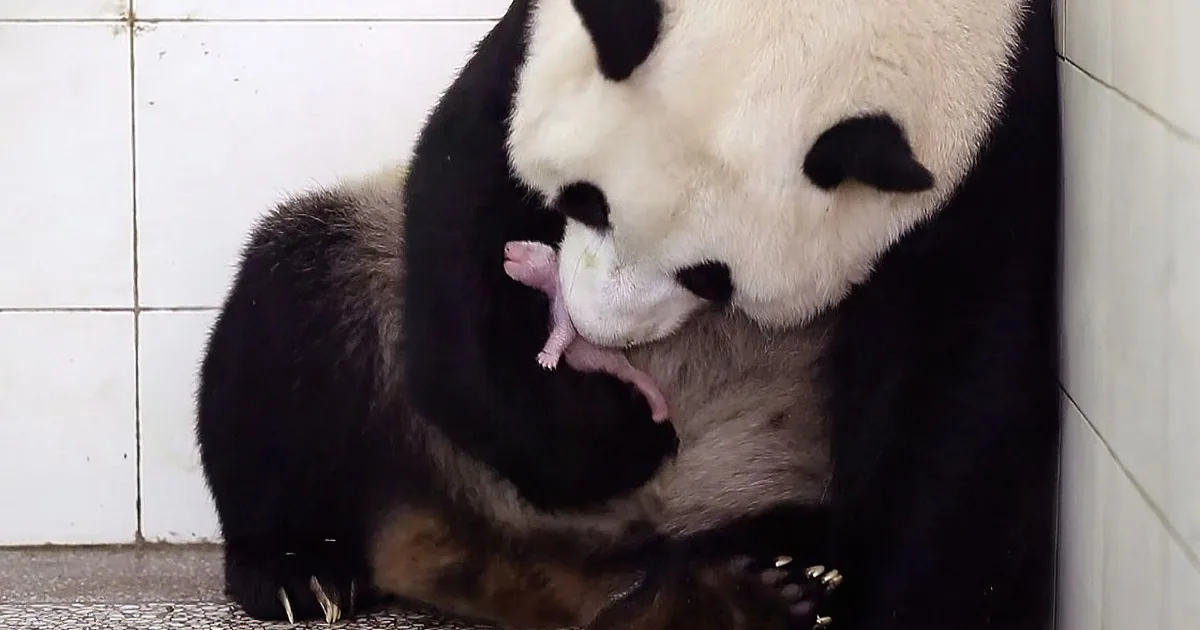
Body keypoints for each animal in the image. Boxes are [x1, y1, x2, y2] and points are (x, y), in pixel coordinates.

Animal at [195, 0, 1062, 629]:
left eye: (712, 278)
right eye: (583, 200)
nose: (592, 332)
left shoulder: (996, 137)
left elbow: (956, 379)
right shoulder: (531, 45)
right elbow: (462, 199)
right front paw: (617, 436)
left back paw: (751, 589)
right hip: (377, 303)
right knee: (298, 297)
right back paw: (299, 570)